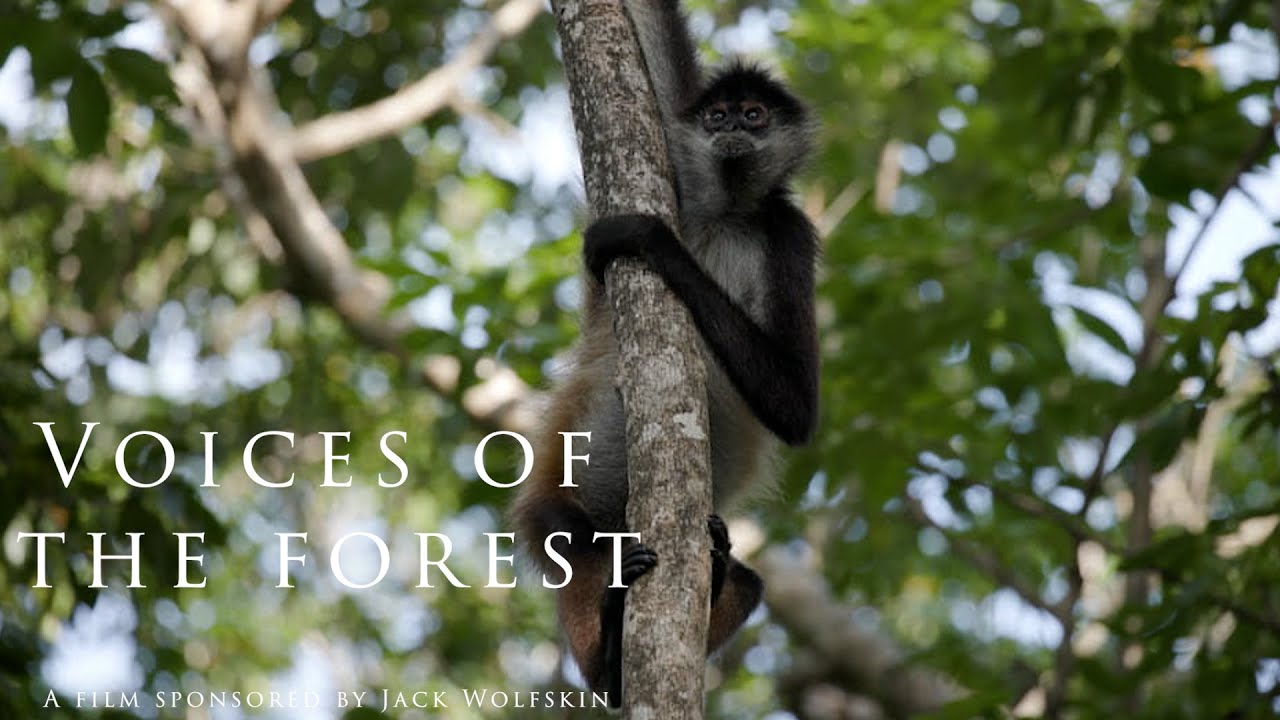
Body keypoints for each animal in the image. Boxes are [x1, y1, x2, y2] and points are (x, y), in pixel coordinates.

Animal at [511, 0, 818, 705]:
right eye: (717, 115)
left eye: (753, 115)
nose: (731, 129)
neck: (725, 213)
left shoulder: (790, 232)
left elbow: (795, 408)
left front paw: (652, 241)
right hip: (556, 499)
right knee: (570, 535)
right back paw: (608, 664)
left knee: (744, 577)